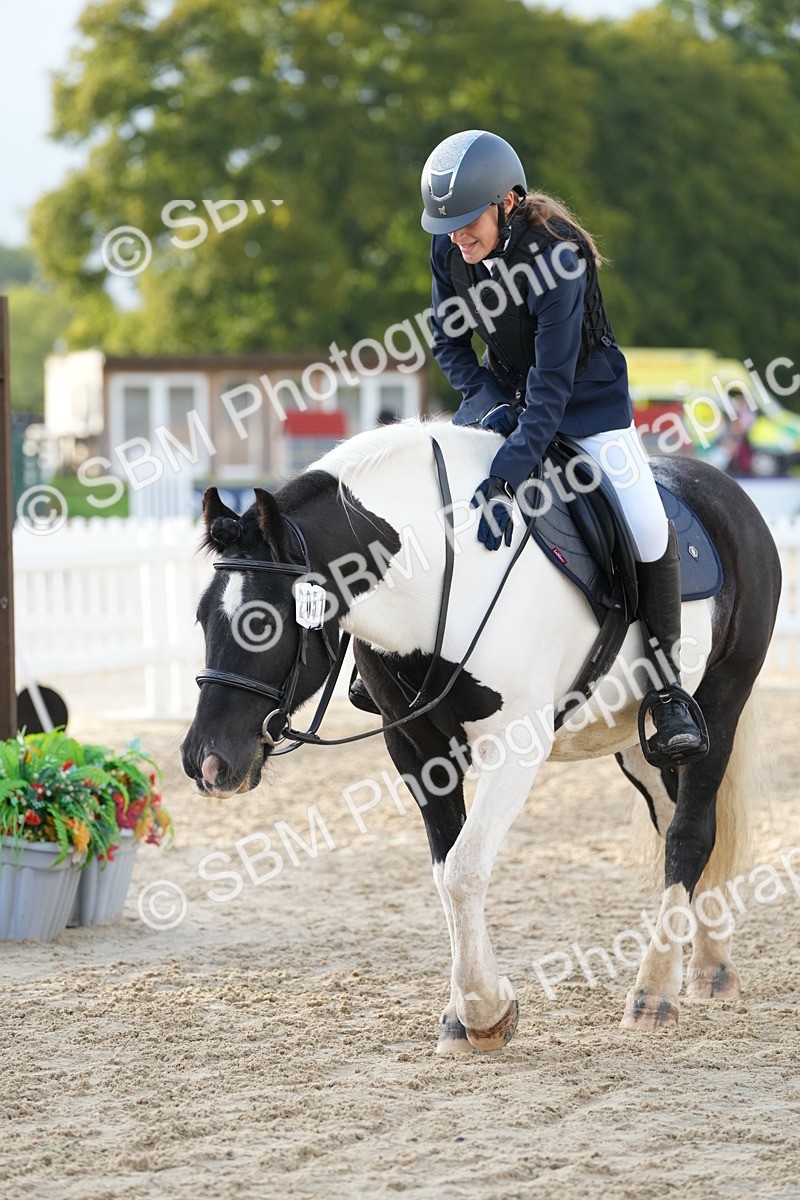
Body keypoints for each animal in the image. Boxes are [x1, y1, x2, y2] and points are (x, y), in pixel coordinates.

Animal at [181, 419, 781, 1053]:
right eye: (200, 617)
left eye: (262, 625)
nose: (205, 763)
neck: (444, 571)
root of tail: (725, 489)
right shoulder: (418, 751)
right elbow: (446, 870)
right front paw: (460, 1015)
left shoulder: (515, 745)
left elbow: (465, 869)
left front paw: (487, 1014)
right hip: (636, 742)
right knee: (674, 823)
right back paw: (710, 965)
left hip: (720, 704)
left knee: (692, 832)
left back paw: (655, 993)